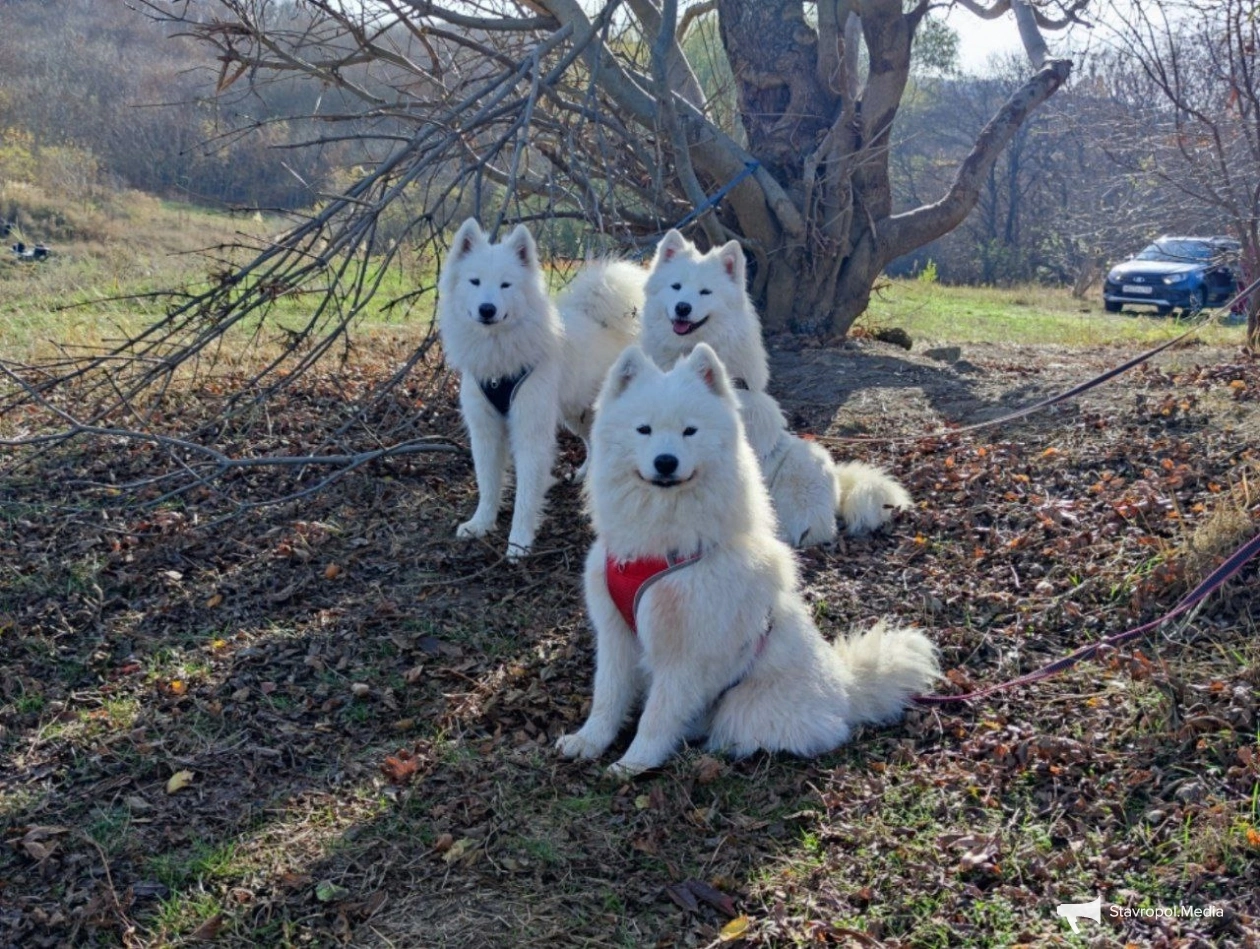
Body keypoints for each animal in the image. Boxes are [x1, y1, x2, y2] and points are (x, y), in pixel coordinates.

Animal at [438, 218, 645, 559]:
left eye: (506, 285)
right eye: (475, 281)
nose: (486, 309)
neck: (498, 360)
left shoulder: (530, 430)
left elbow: (526, 492)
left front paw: (519, 540)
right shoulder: (485, 430)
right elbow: (487, 482)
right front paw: (480, 523)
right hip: (576, 413)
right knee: (591, 443)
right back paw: (584, 475)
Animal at [556, 345, 942, 771]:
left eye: (690, 431)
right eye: (644, 430)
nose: (665, 461)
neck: (659, 545)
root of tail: (845, 688)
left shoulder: (687, 654)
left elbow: (658, 714)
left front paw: (634, 763)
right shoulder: (615, 633)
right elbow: (607, 697)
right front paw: (588, 741)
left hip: (743, 707)